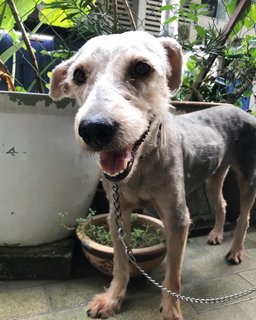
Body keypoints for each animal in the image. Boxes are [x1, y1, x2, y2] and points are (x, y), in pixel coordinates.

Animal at [49, 31, 256, 320]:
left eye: (141, 68)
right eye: (78, 75)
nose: (94, 130)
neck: (142, 165)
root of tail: (237, 109)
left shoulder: (177, 219)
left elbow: (173, 277)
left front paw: (170, 311)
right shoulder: (117, 213)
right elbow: (120, 265)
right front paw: (112, 299)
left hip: (247, 176)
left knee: (244, 217)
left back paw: (235, 251)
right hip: (215, 176)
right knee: (222, 205)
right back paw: (215, 234)